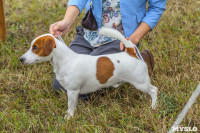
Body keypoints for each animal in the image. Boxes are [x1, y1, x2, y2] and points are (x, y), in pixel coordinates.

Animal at [20, 27, 158, 119]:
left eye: (35, 48)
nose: (21, 59)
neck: (65, 60)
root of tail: (130, 52)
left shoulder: (73, 91)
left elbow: (70, 106)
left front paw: (68, 117)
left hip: (140, 83)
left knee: (154, 90)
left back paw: (153, 107)